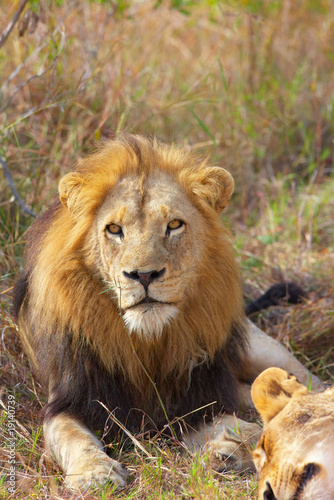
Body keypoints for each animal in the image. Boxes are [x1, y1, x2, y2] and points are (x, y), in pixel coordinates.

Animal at [13, 135, 320, 490]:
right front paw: (95, 473)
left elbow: (249, 427)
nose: (144, 275)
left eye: (173, 225)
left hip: (264, 353)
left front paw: (234, 450)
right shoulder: (70, 401)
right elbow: (74, 437)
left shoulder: (196, 402)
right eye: (114, 229)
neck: (146, 342)